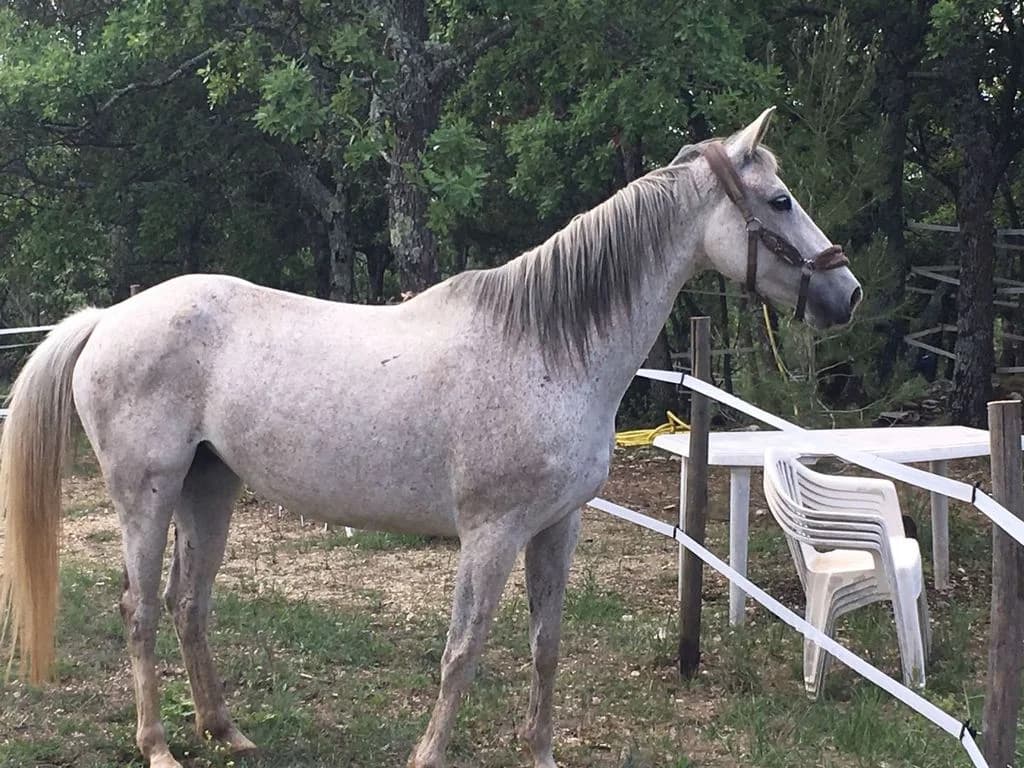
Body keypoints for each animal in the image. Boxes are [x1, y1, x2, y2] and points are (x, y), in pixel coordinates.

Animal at [0, 107, 861, 768]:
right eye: (780, 200)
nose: (846, 293)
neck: (547, 348)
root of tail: (109, 317)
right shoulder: (491, 533)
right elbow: (463, 649)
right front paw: (430, 753)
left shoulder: (558, 527)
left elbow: (546, 645)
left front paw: (541, 752)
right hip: (144, 496)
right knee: (141, 609)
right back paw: (158, 746)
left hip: (207, 489)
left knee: (189, 605)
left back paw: (226, 732)